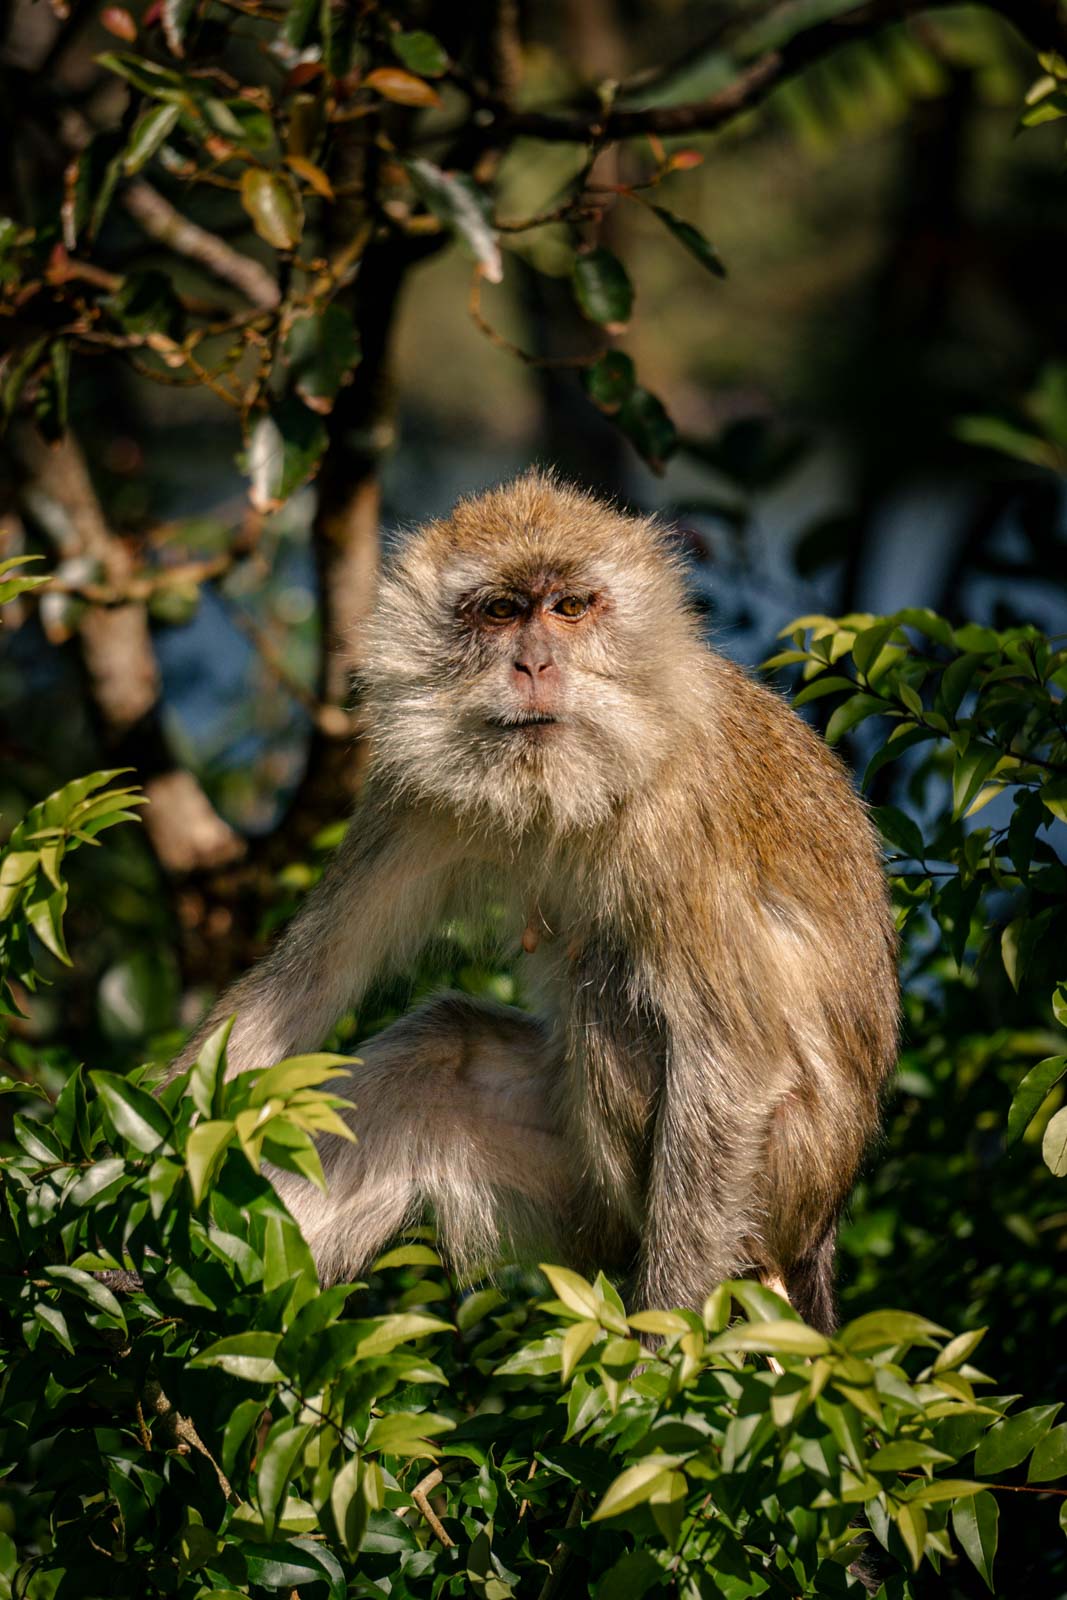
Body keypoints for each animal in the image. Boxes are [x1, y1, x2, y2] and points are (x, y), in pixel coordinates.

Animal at [173, 467, 895, 1331]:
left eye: (570, 609)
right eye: (500, 612)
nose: (534, 666)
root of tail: (821, 1226)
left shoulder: (676, 826)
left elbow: (734, 1063)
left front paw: (658, 1355)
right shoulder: (415, 794)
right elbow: (309, 982)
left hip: (784, 1178)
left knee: (611, 994)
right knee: (436, 1060)